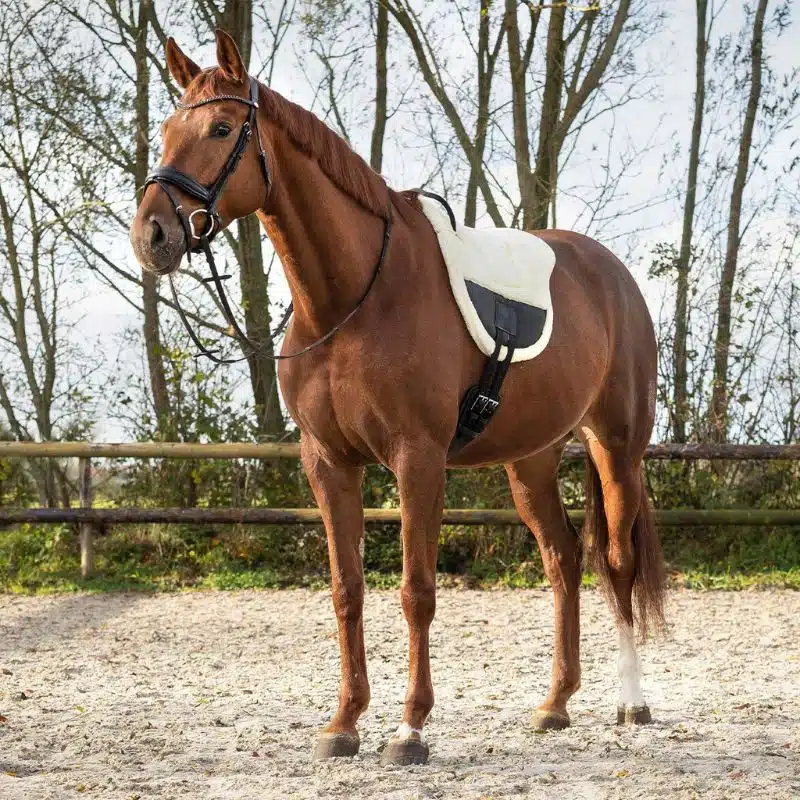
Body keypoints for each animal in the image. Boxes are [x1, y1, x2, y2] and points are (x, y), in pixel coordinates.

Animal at [130, 30, 665, 766]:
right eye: (165, 130)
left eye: (220, 128)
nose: (151, 235)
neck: (352, 298)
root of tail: (612, 275)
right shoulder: (329, 463)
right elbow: (347, 589)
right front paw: (344, 722)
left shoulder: (418, 460)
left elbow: (416, 592)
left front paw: (410, 729)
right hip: (530, 460)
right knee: (562, 559)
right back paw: (555, 704)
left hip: (616, 448)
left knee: (616, 561)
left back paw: (632, 702)